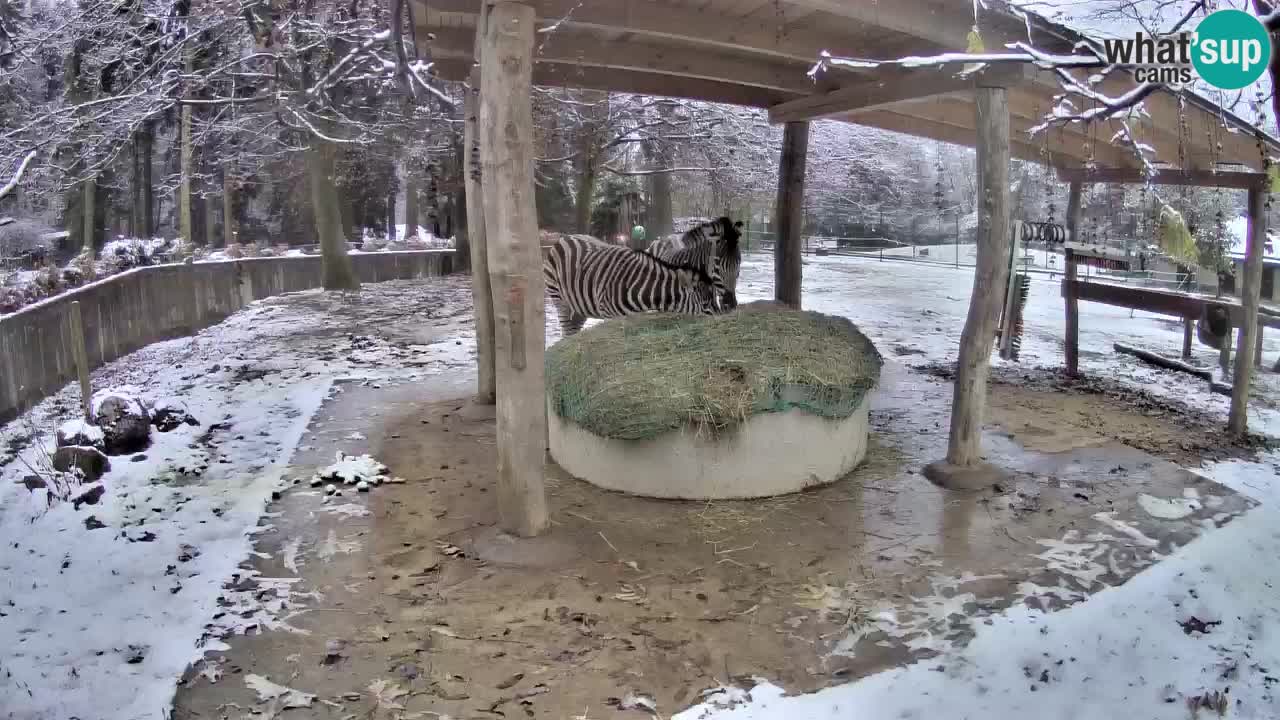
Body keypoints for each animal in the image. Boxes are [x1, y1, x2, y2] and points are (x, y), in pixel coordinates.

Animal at [540, 234, 721, 338]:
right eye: (705, 302)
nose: (721, 317)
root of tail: (565, 237)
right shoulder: (610, 316)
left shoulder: (634, 317)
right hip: (559, 299)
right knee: (566, 330)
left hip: (579, 306)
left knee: (573, 331)